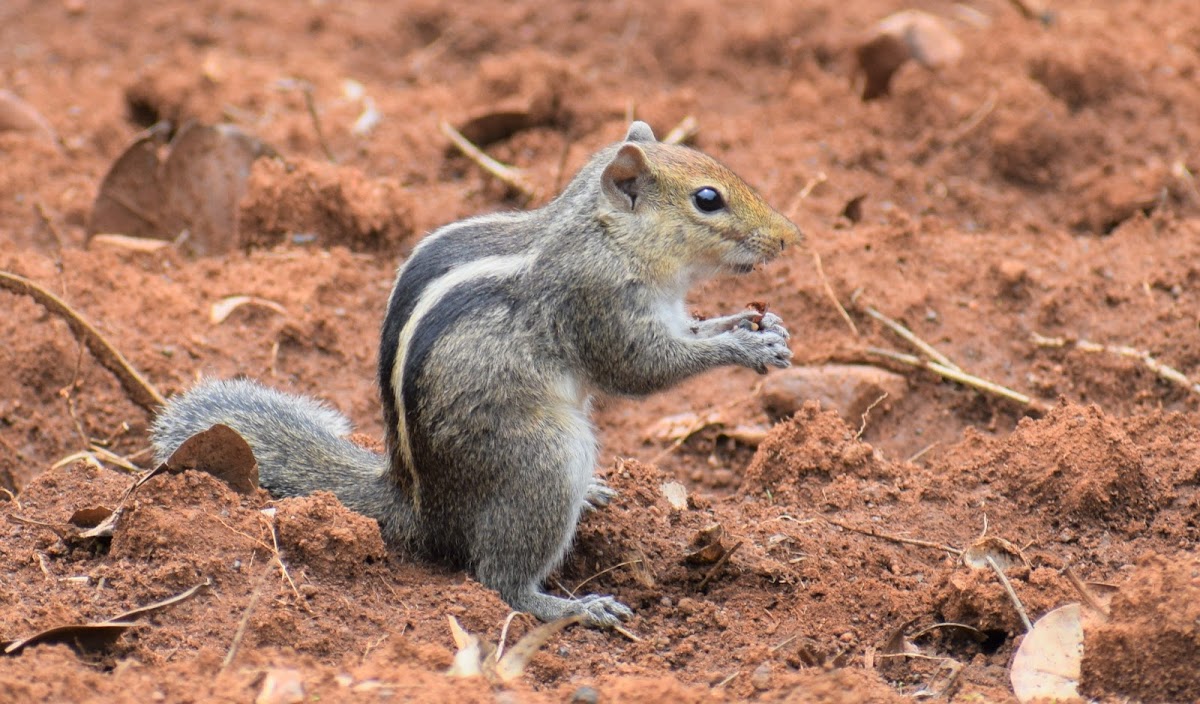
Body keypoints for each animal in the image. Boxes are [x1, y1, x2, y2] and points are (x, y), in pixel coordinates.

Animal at [152, 121, 806, 628]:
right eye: (707, 199)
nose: (790, 236)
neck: (604, 234)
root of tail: (421, 508)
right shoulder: (598, 305)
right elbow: (641, 370)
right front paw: (742, 347)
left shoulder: (666, 310)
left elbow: (690, 332)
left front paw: (757, 327)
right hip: (543, 461)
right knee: (498, 577)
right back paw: (570, 607)